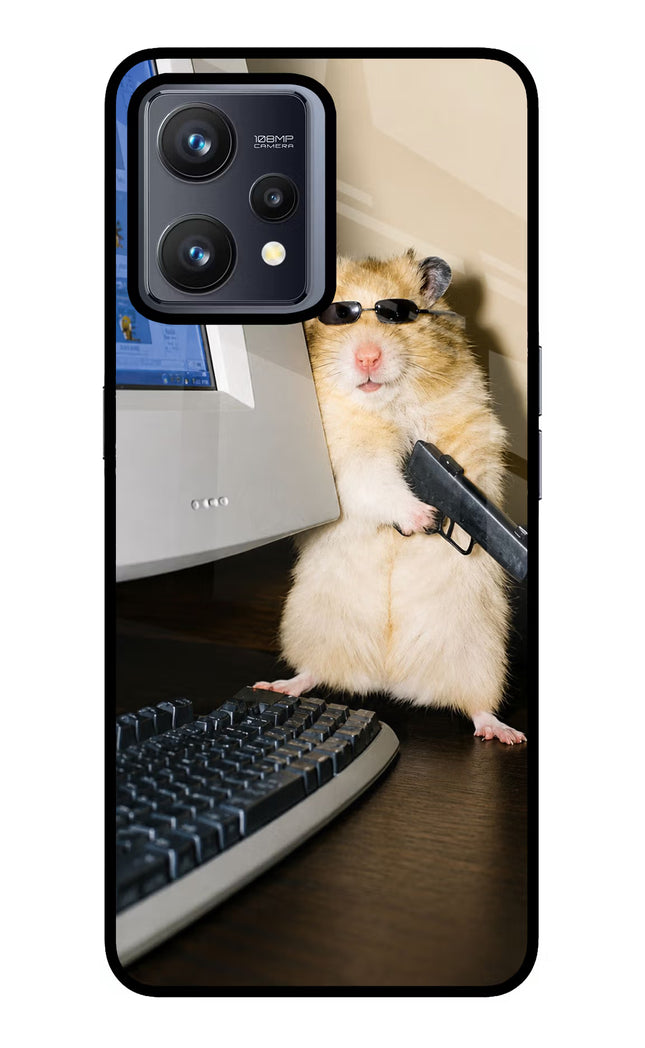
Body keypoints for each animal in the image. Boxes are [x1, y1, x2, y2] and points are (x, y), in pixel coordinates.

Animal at [256, 251, 526, 744]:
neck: (386, 404)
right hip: (311, 627)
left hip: (480, 655)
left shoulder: (471, 429)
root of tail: (389, 679)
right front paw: (423, 518)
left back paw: (505, 733)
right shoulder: (347, 459)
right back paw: (279, 685)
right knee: (313, 672)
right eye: (338, 314)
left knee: (477, 706)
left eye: (396, 314)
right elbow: (378, 482)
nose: (367, 357)